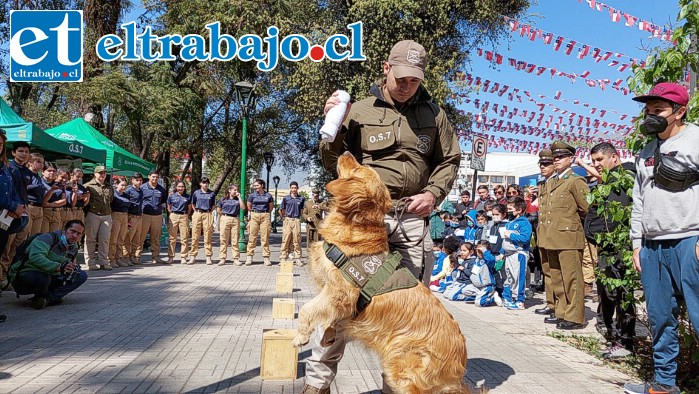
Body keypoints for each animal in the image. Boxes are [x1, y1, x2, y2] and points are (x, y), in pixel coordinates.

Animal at [292, 153, 470, 394]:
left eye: (359, 168)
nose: (346, 153)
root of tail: (459, 366)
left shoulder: (339, 292)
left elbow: (307, 309)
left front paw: (301, 337)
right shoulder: (341, 300)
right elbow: (332, 317)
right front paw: (329, 333)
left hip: (402, 370)